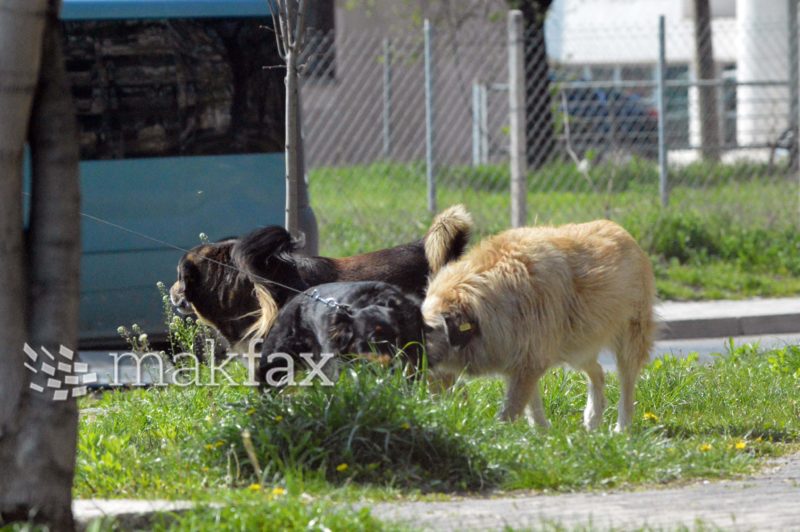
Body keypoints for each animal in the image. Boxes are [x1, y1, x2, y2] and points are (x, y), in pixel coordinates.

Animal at [422, 220, 652, 432]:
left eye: (427, 331)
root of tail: (620, 230)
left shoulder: (529, 362)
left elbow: (511, 411)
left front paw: (498, 437)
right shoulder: (524, 362)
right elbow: (532, 406)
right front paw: (543, 434)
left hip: (629, 341)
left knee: (627, 385)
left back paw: (622, 429)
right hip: (577, 347)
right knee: (598, 371)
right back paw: (592, 418)